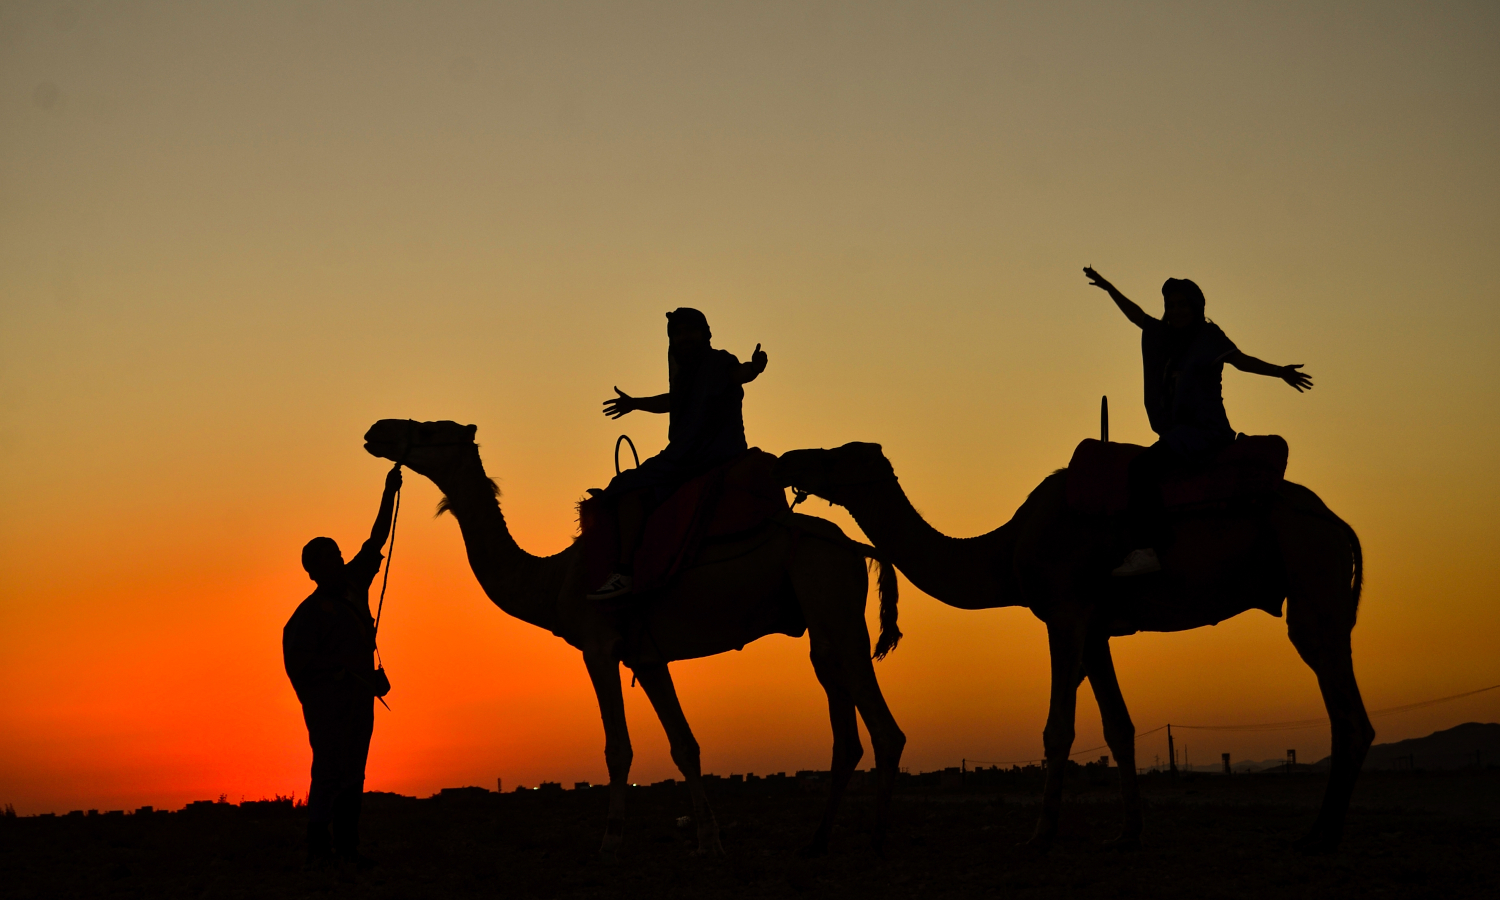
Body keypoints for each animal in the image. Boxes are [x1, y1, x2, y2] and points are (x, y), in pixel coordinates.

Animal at [362, 419, 907, 858]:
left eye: (430, 430)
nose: (377, 431)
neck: (555, 579)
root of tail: (857, 547)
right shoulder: (647, 657)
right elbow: (685, 745)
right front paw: (709, 841)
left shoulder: (598, 647)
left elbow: (617, 748)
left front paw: (609, 842)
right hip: (825, 621)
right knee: (847, 726)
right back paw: (819, 843)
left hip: (834, 602)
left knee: (886, 728)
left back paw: (878, 843)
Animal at [775, 442, 1372, 853]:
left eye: (835, 456)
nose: (788, 459)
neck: (1006, 547)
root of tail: (1338, 521)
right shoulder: (1097, 629)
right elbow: (1119, 727)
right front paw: (1128, 833)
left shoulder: (1064, 613)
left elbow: (1058, 726)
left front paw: (1040, 834)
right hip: (1322, 584)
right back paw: (1320, 830)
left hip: (1310, 570)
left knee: (1345, 709)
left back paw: (1322, 834)